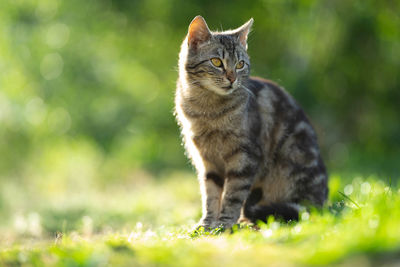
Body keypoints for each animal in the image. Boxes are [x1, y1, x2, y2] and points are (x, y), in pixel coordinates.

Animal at [175, 15, 328, 230]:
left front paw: (224, 224)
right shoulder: (206, 161)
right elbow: (210, 196)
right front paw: (207, 224)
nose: (232, 78)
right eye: (216, 62)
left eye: (240, 64)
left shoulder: (244, 157)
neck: (208, 110)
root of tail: (320, 203)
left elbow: (232, 196)